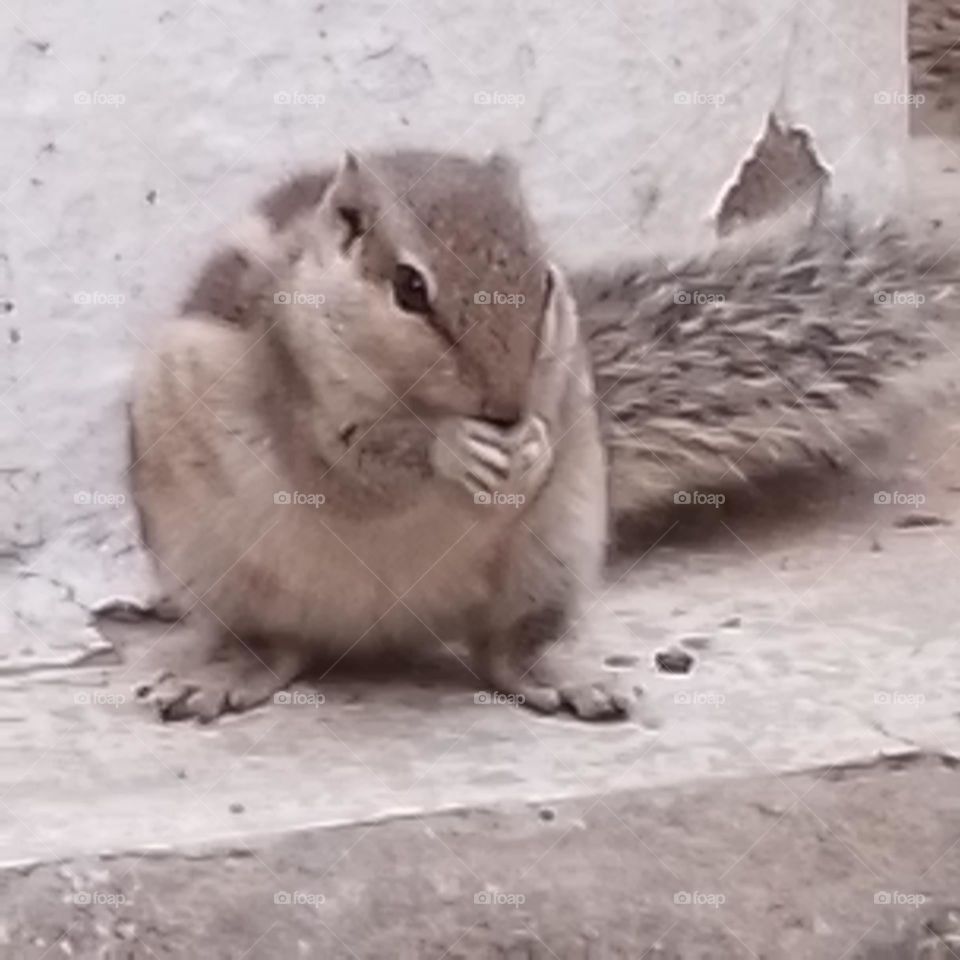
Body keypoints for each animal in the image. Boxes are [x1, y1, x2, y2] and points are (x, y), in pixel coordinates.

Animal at [130, 149, 958, 722]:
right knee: (272, 642)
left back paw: (569, 678)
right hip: (218, 566)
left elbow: (550, 421)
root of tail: (385, 631)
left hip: (555, 546)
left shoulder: (563, 385)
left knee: (509, 648)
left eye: (547, 279)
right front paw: (452, 449)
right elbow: (362, 463)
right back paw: (226, 673)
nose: (504, 407)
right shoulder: (300, 390)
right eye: (409, 288)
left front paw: (529, 447)